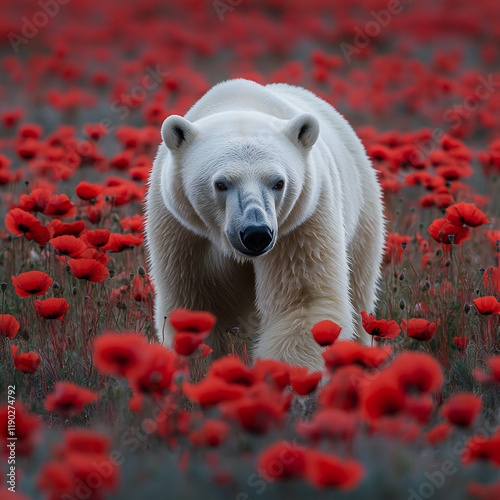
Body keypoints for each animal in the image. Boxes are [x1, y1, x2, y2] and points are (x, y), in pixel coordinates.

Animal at [146, 79, 386, 372]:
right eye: (221, 183)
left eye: (278, 182)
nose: (256, 233)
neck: (241, 103)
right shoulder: (183, 232)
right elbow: (197, 304)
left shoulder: (302, 222)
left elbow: (302, 301)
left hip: (362, 212)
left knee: (360, 289)